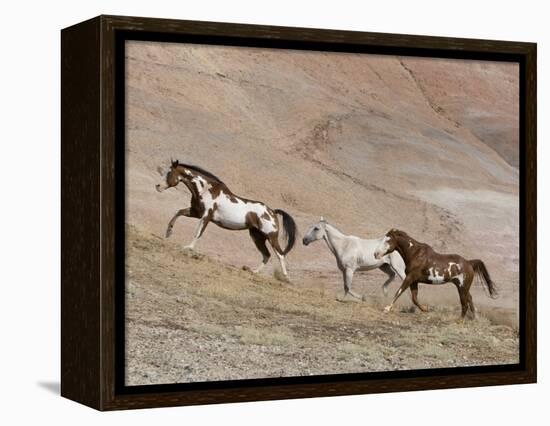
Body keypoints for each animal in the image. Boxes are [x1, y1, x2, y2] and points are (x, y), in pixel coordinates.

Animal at [156, 160, 298, 276]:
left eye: (169, 173)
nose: (157, 186)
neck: (206, 190)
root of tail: (273, 211)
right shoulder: (196, 212)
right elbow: (178, 212)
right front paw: (168, 232)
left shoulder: (206, 216)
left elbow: (198, 233)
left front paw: (188, 248)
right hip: (257, 236)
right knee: (266, 255)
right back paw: (254, 271)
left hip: (271, 236)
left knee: (280, 254)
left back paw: (285, 277)